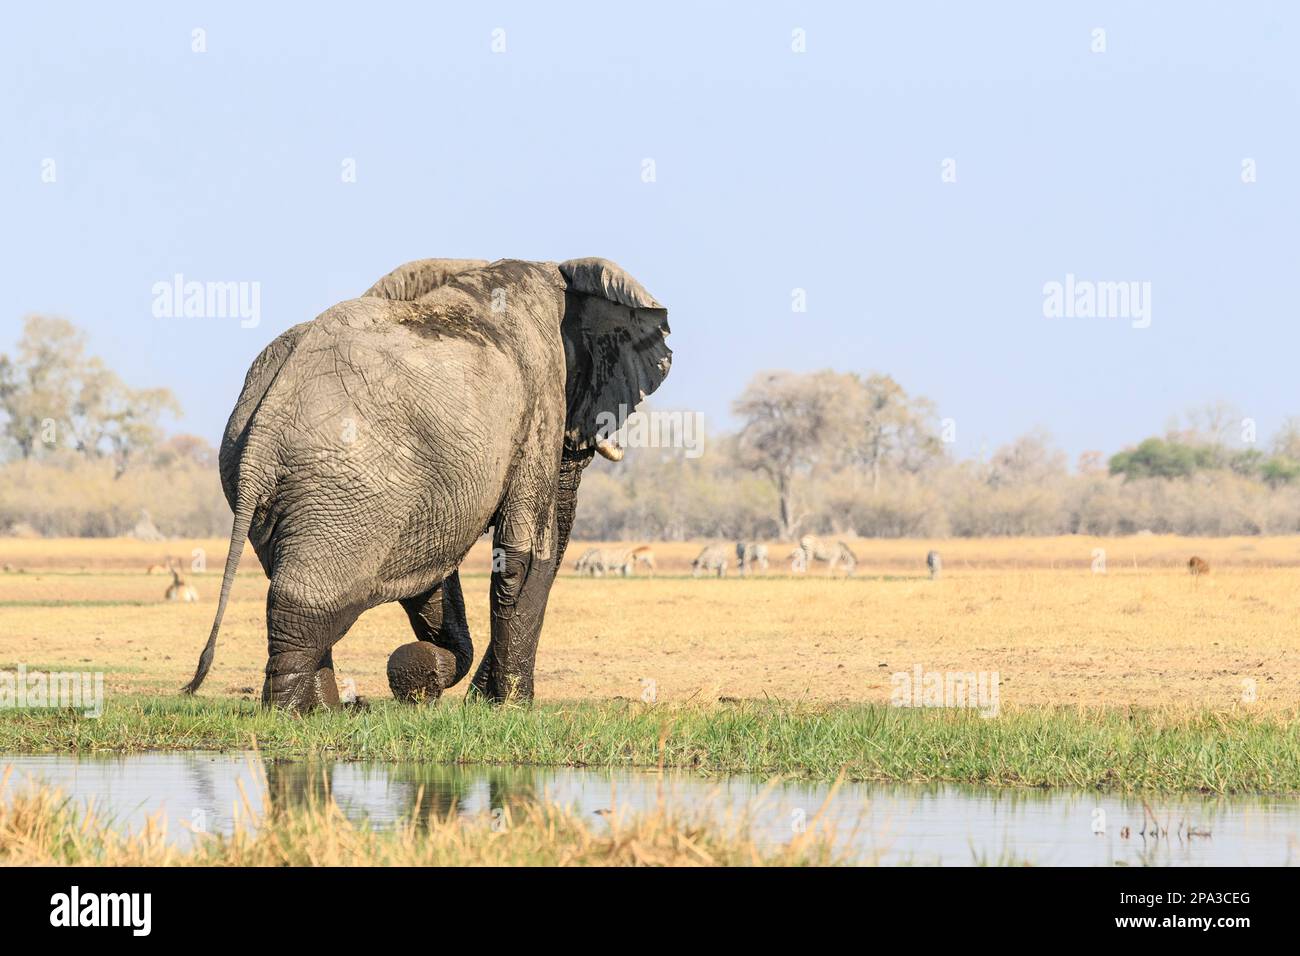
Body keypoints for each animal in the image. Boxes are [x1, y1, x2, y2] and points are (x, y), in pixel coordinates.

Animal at [183, 256, 670, 712]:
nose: (424, 683)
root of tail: (266, 419)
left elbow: (435, 570)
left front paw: (435, 676)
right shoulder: (540, 397)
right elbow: (522, 555)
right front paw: (511, 709)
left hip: (271, 482)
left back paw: (324, 712)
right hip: (347, 483)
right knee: (307, 603)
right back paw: (290, 715)